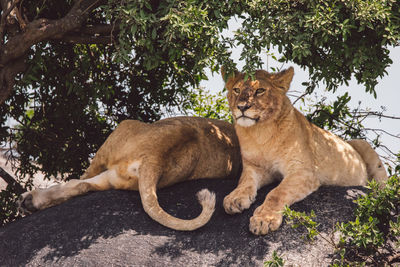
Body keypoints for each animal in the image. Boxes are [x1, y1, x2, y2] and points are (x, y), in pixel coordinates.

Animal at [18, 118, 241, 232]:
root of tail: (156, 157)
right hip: (116, 176)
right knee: (81, 185)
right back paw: (29, 202)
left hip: (120, 130)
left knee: (80, 180)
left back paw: (28, 200)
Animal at [222, 67, 388, 237]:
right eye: (236, 90)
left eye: (260, 90)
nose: (242, 107)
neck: (260, 132)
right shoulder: (256, 167)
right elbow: (245, 182)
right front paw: (235, 198)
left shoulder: (303, 171)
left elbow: (276, 193)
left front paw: (264, 220)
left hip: (363, 145)